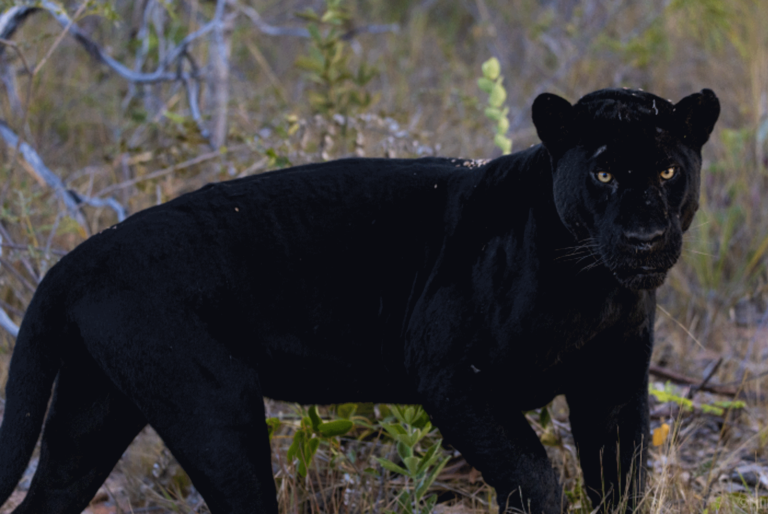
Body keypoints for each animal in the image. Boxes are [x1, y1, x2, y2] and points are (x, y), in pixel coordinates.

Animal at [0, 88, 720, 512]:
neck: (595, 289)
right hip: (214, 407)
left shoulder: (613, 388)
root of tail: (80, 255)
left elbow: (622, 485)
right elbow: (535, 473)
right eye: (603, 171)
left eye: (666, 169)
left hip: (95, 410)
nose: (645, 235)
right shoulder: (454, 376)